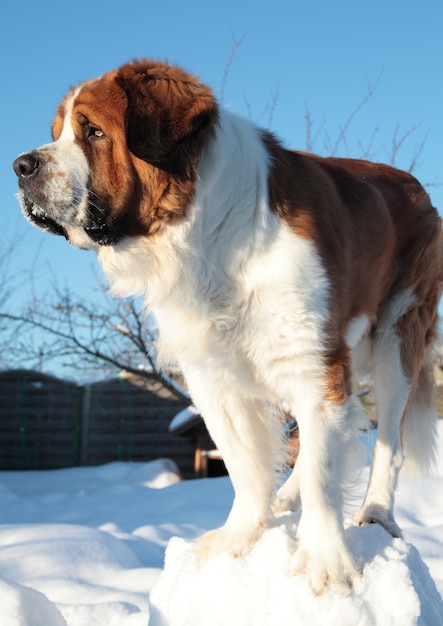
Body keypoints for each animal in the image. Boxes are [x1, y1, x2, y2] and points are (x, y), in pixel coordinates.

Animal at [13, 58, 443, 588]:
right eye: (58, 134)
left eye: (93, 132)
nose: (20, 166)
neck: (205, 236)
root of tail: (418, 189)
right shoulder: (213, 373)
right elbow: (245, 463)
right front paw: (239, 538)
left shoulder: (312, 360)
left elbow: (322, 472)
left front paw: (326, 560)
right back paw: (288, 498)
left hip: (397, 337)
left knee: (386, 441)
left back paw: (376, 513)